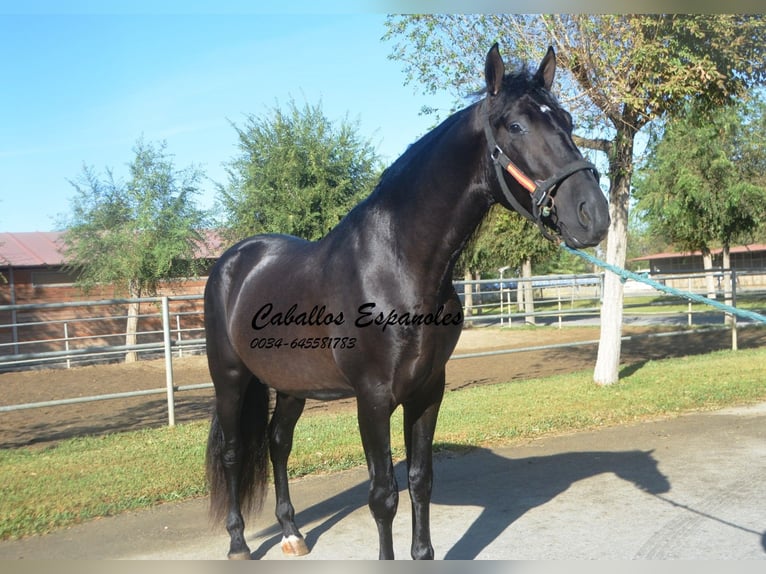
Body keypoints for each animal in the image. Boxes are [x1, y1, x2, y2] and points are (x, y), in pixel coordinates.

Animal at [204, 45, 612, 564]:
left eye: (567, 119)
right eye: (516, 126)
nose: (592, 214)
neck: (397, 266)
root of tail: (233, 261)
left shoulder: (428, 390)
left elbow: (420, 481)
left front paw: (423, 552)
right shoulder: (373, 399)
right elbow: (383, 495)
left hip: (292, 383)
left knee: (279, 442)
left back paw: (292, 534)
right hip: (231, 378)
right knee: (235, 452)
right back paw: (239, 543)